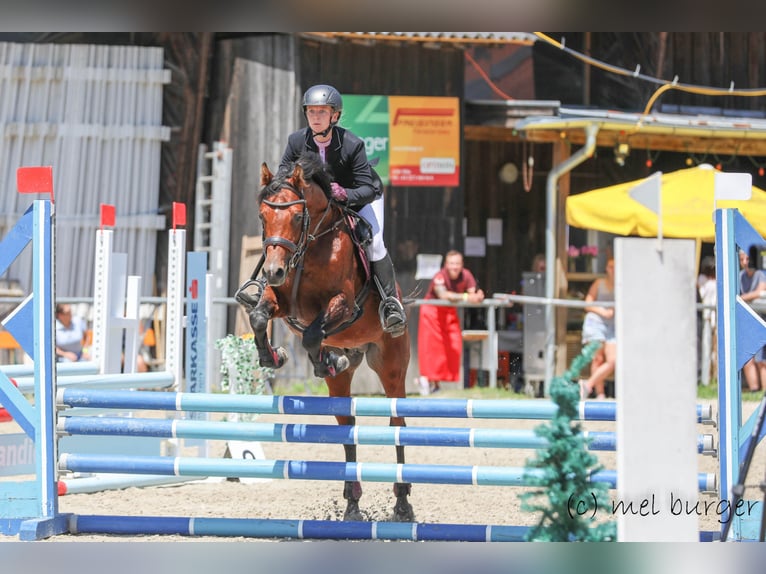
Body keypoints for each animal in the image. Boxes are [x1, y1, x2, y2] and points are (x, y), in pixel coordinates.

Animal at [235, 152, 414, 522]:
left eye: (297, 215)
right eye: (263, 216)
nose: (273, 270)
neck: (311, 245)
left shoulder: (344, 304)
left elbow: (312, 333)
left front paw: (319, 360)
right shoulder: (281, 301)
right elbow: (260, 316)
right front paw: (273, 357)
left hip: (392, 366)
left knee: (397, 422)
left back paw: (403, 502)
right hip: (344, 383)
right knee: (348, 425)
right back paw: (352, 503)